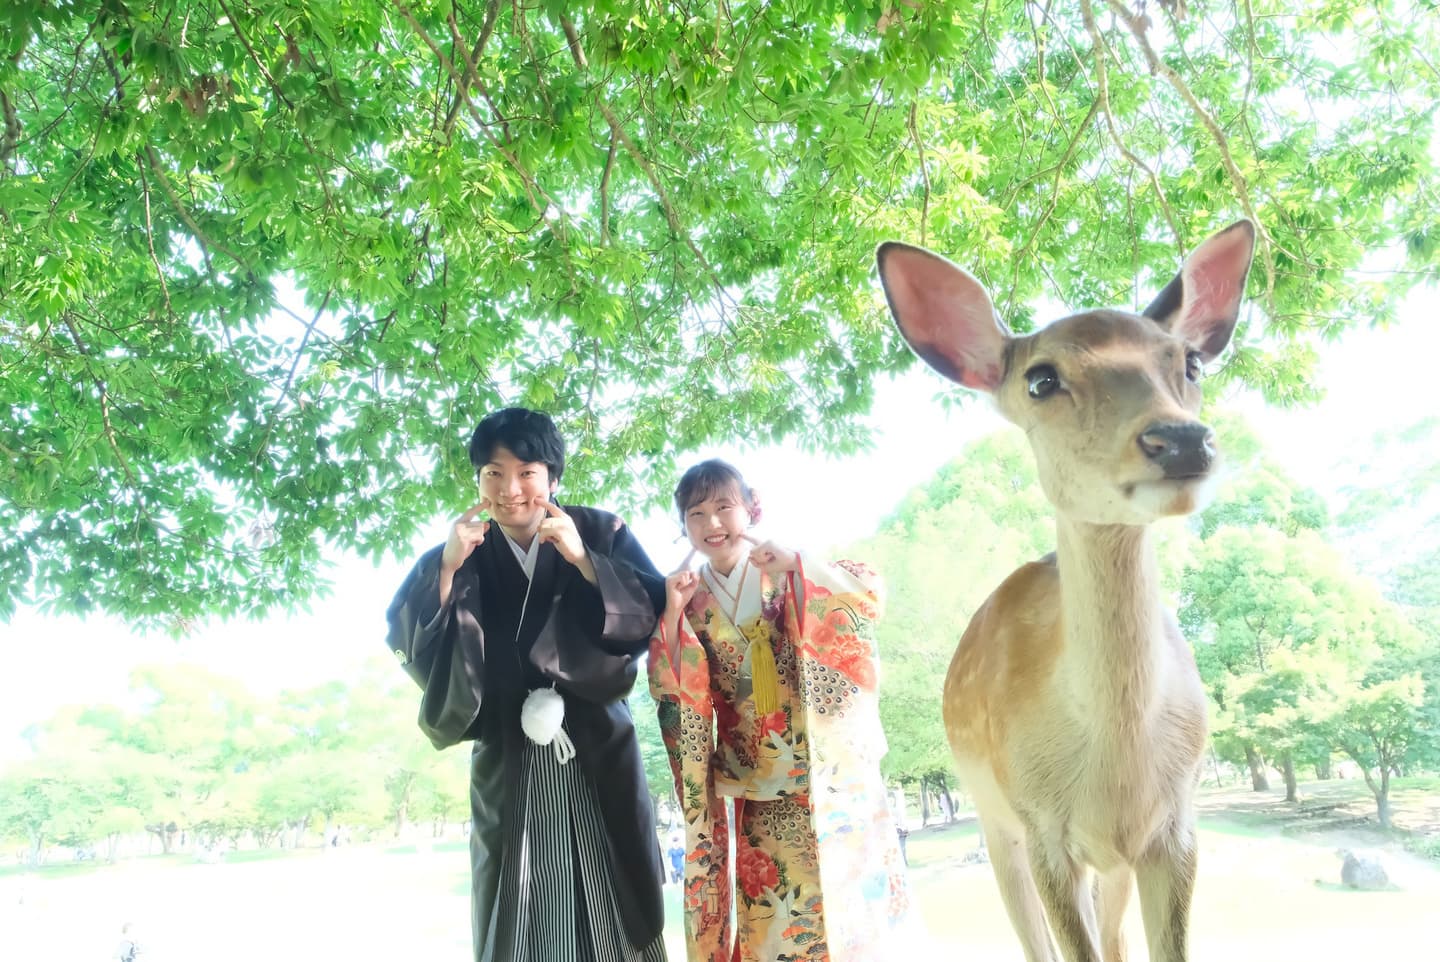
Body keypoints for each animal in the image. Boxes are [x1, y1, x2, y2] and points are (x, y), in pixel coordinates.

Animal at [875, 220, 1256, 962]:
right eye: (1041, 378)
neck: (1116, 764)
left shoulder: (1175, 825)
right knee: (1032, 939)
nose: (1181, 440)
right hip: (994, 824)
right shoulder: (1042, 826)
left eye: (1190, 363)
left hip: (1109, 862)